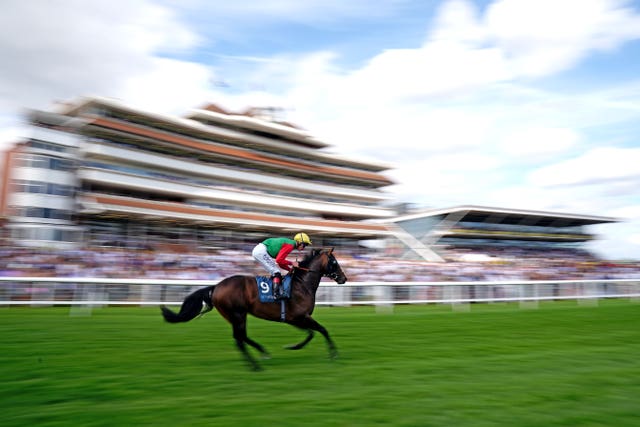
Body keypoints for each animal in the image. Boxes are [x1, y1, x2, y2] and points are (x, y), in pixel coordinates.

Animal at [162, 247, 348, 372]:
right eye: (334, 262)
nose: (344, 278)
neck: (302, 285)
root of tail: (216, 287)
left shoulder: (293, 318)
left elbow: (311, 333)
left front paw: (293, 346)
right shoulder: (300, 316)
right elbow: (322, 330)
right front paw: (334, 354)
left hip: (235, 315)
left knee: (242, 337)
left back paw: (262, 352)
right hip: (237, 314)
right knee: (239, 339)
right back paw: (255, 365)